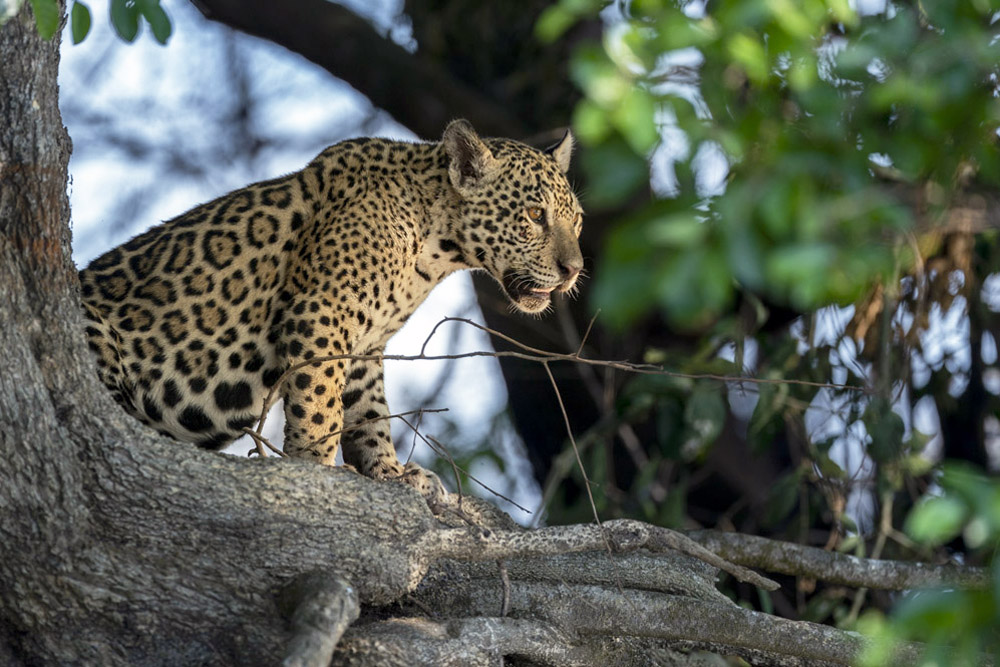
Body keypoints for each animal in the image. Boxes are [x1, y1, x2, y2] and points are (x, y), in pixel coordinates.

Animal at [79, 119, 584, 502]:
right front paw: (316, 469)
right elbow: (322, 405)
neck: (434, 246)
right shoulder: (322, 313)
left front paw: (392, 472)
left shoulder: (365, 345)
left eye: (576, 221)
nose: (574, 269)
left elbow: (369, 414)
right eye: (534, 215)